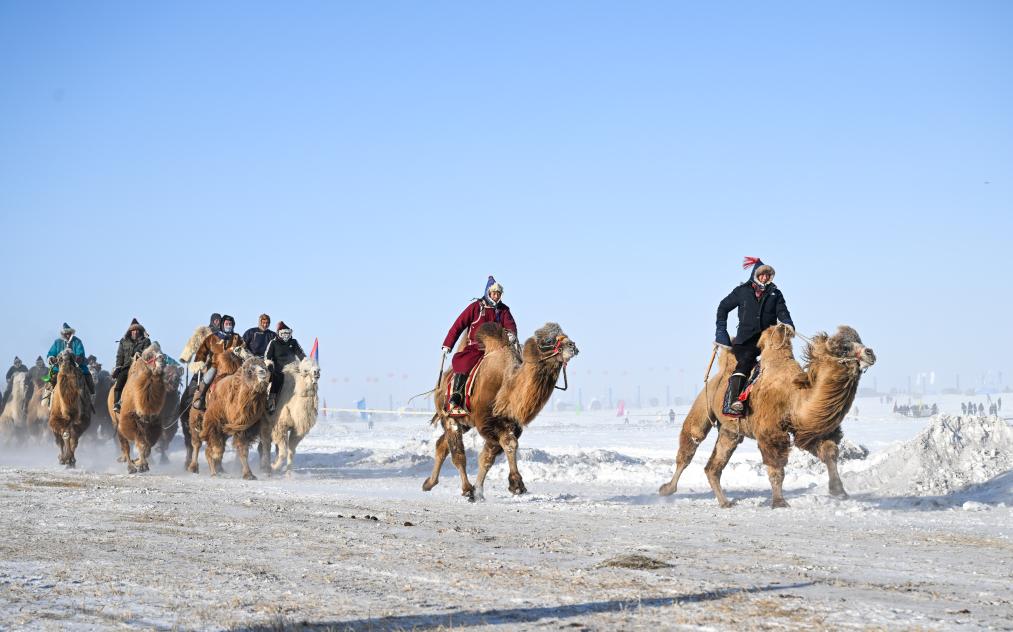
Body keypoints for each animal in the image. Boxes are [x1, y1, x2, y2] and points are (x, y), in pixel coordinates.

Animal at [107, 342, 167, 471]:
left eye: (162, 352)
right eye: (148, 356)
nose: (162, 359)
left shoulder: (152, 422)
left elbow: (148, 445)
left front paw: (140, 462)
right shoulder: (128, 419)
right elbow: (141, 443)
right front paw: (142, 465)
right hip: (116, 422)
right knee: (124, 445)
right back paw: (130, 467)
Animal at [419, 324, 579, 500]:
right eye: (549, 340)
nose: (572, 346)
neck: (506, 389)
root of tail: (442, 383)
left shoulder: (510, 424)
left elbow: (489, 457)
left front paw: (479, 492)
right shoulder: (487, 423)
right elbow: (508, 444)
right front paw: (516, 485)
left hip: (465, 422)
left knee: (442, 444)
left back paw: (429, 483)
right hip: (448, 416)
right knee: (457, 453)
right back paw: (466, 488)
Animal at [660, 326, 875, 508]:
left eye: (858, 340)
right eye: (844, 347)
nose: (870, 353)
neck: (795, 397)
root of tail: (719, 374)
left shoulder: (806, 429)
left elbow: (829, 452)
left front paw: (839, 491)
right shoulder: (770, 432)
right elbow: (776, 468)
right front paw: (779, 502)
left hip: (730, 430)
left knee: (715, 463)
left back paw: (725, 502)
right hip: (703, 404)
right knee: (690, 444)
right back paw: (666, 489)